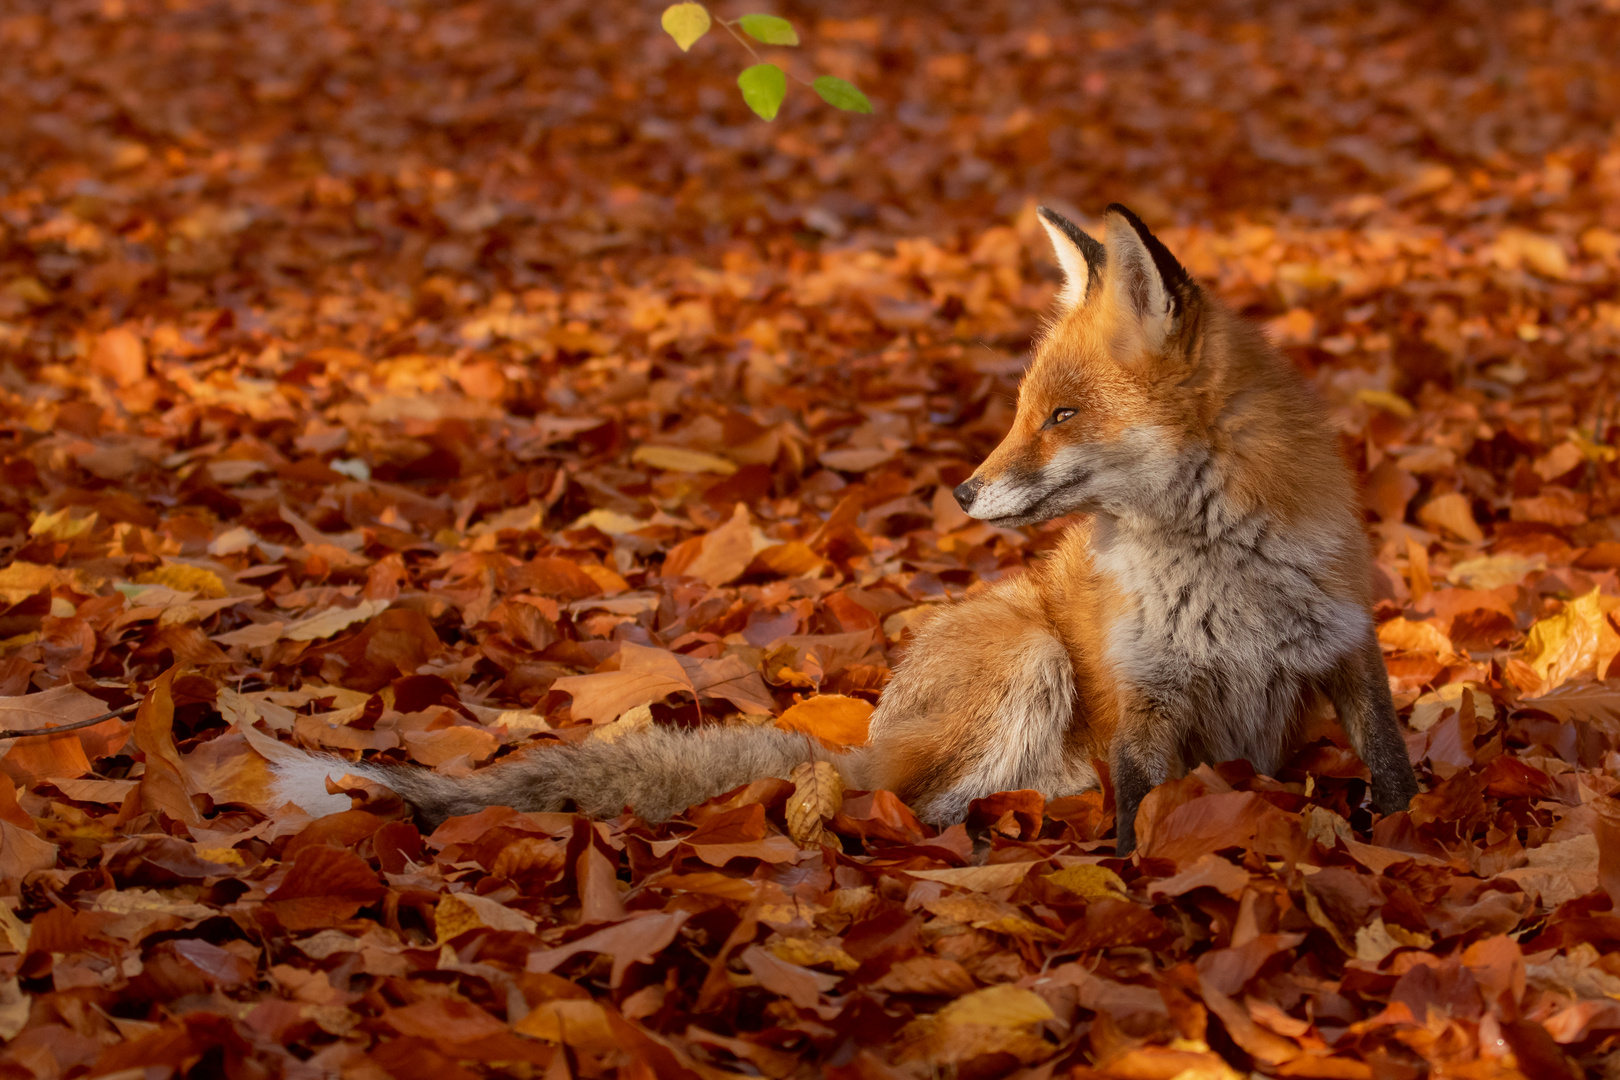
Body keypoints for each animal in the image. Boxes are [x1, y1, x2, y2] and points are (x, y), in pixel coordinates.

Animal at [275, 207, 1419, 854]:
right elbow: (1141, 808)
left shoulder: (1342, 640)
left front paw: (1412, 847)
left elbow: (1392, 766)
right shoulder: (1148, 692)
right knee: (908, 797)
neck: (1221, 571)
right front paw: (1137, 876)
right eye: (1024, 410)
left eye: (1061, 416)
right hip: (1030, 657)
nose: (961, 491)